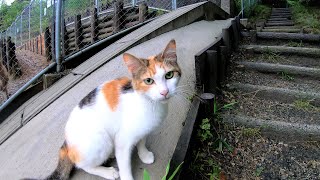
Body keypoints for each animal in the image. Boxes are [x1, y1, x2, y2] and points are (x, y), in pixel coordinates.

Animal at [25, 39, 180, 180]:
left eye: (169, 75)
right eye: (149, 81)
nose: (164, 92)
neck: (149, 103)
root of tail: (66, 144)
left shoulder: (143, 129)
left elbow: (142, 141)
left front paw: (144, 155)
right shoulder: (123, 140)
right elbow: (124, 165)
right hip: (100, 139)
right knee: (83, 165)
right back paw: (107, 171)